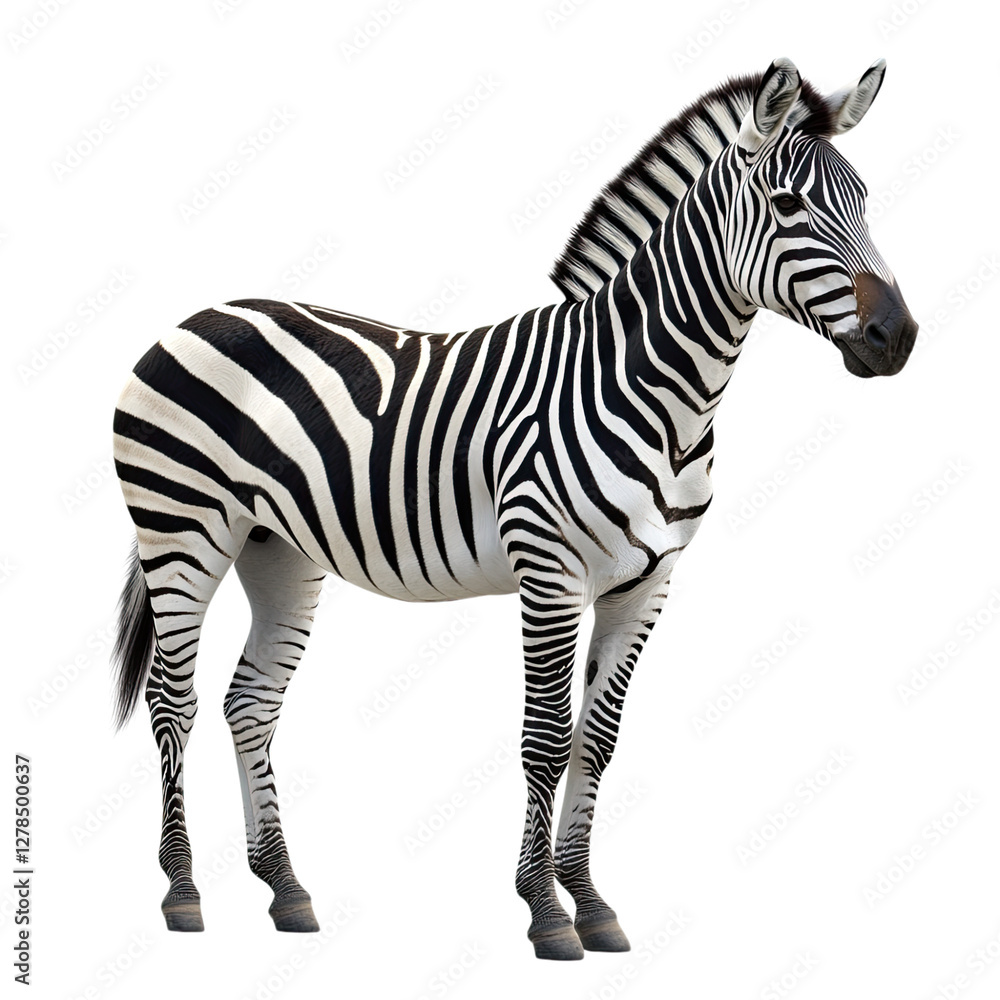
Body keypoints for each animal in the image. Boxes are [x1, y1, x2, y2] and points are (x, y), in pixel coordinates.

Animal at [111, 57, 917, 959]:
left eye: (866, 200)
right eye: (787, 206)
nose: (898, 338)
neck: (655, 392)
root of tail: (198, 315)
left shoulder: (648, 583)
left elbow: (596, 741)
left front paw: (591, 902)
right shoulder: (551, 571)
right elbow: (545, 736)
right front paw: (545, 911)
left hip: (276, 548)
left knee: (249, 702)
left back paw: (286, 889)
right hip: (181, 530)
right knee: (173, 701)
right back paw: (183, 892)